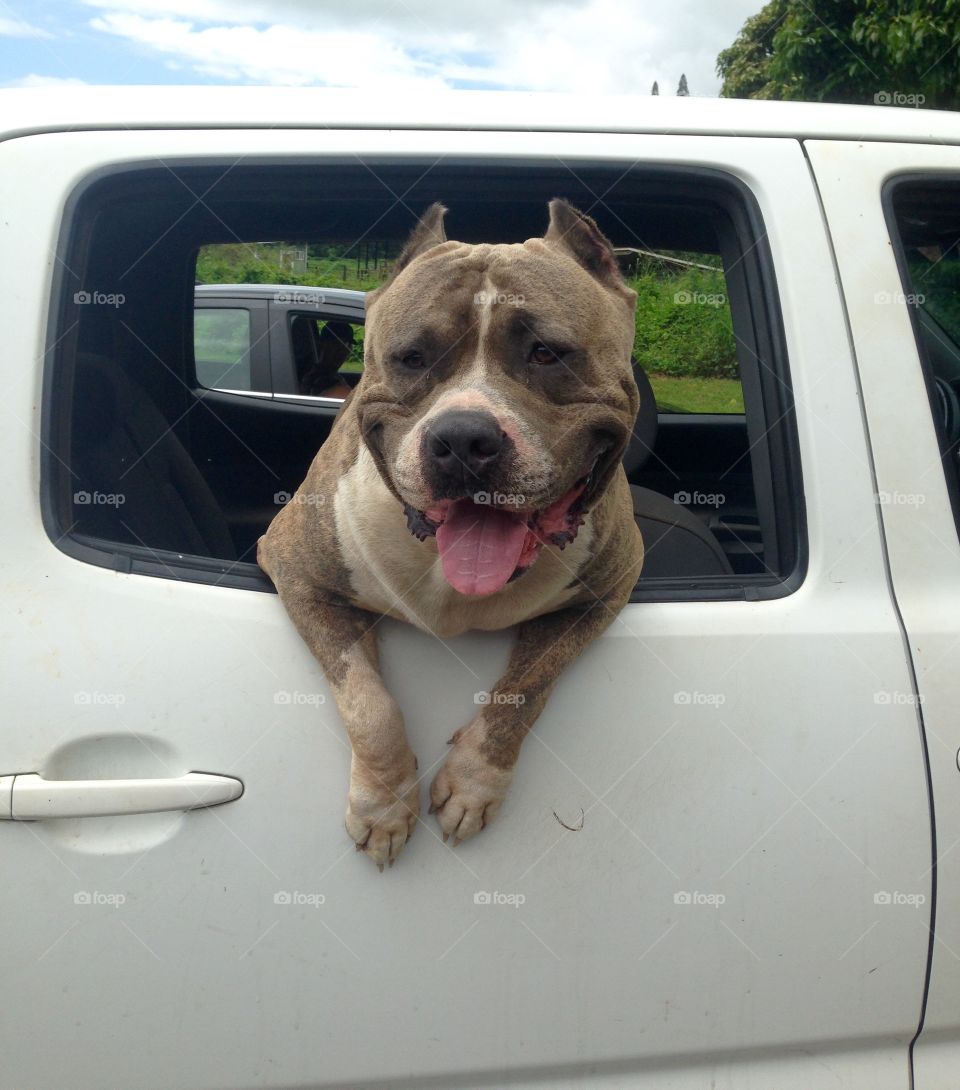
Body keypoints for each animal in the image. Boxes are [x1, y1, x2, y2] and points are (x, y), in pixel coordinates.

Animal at [258, 200, 640, 867]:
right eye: (413, 357)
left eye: (546, 353)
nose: (463, 438)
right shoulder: (299, 572)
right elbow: (370, 702)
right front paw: (383, 806)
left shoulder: (607, 590)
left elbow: (525, 689)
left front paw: (472, 782)